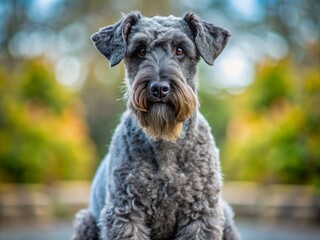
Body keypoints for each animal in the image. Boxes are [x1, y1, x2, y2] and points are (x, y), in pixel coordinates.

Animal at [71, 11, 241, 240]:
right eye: (140, 50)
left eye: (180, 50)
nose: (159, 88)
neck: (165, 141)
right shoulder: (126, 213)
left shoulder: (201, 214)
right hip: (85, 221)